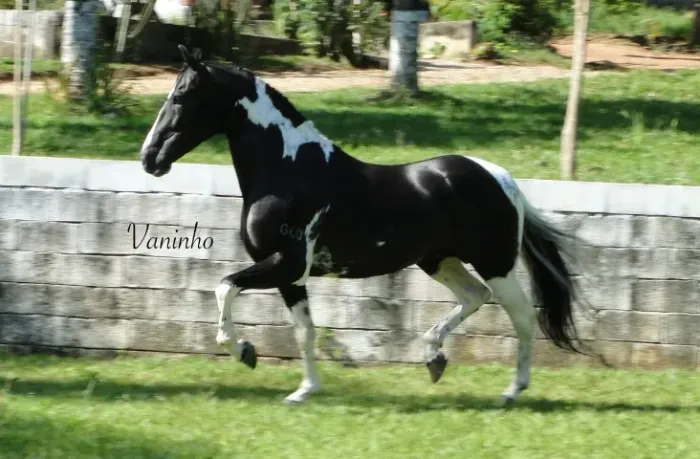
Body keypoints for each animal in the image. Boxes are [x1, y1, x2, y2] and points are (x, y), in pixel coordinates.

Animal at [139, 44, 585, 405]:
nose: (149, 159)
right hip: (438, 261)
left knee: (522, 316)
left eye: (181, 95)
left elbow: (225, 286)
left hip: (495, 263)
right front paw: (304, 391)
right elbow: (304, 331)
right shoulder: (291, 276)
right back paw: (434, 358)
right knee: (475, 297)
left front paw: (244, 351)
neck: (289, 170)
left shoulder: (286, 263)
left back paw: (511, 391)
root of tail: (501, 178)